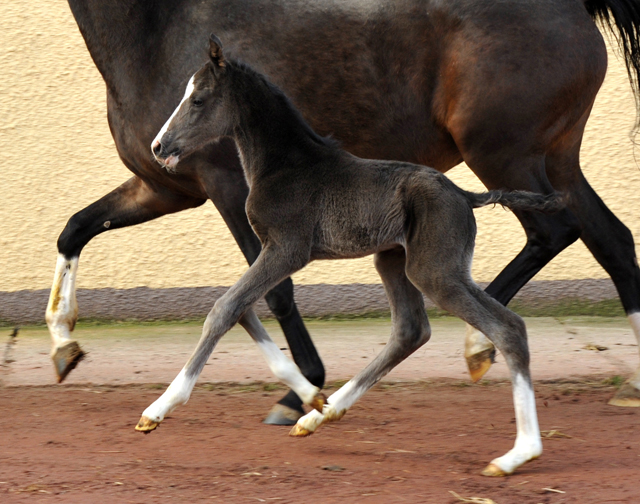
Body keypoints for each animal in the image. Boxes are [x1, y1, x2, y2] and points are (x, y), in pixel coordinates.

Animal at [141, 35, 560, 476]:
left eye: (199, 100)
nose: (159, 147)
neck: (284, 164)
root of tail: (464, 195)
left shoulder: (287, 250)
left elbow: (224, 307)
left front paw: (158, 410)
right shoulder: (273, 253)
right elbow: (242, 308)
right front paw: (310, 396)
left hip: (436, 272)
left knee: (507, 329)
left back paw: (518, 453)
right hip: (394, 260)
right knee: (411, 330)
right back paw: (318, 416)